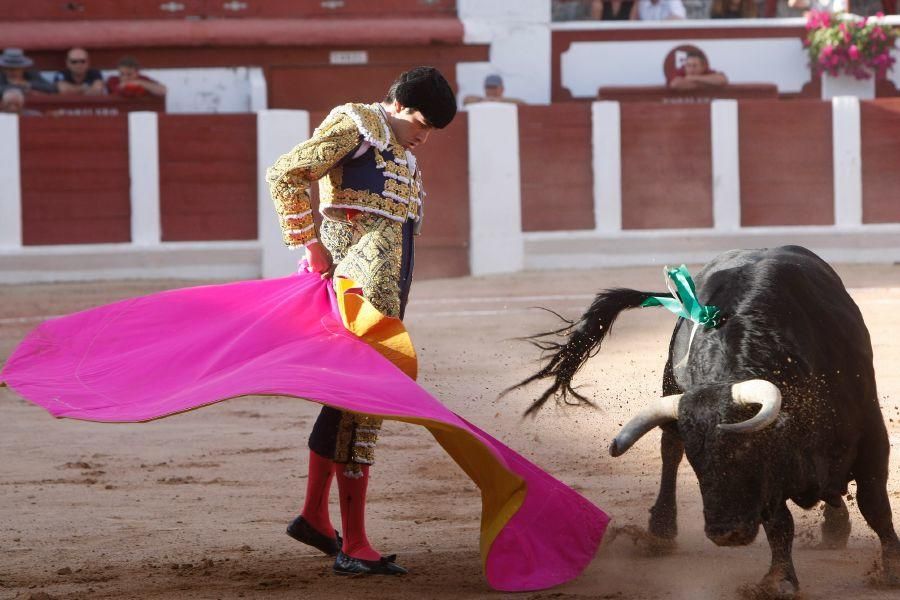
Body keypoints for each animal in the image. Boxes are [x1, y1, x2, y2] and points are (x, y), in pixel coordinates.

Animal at [512, 246, 900, 596]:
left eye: (747, 452)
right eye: (699, 465)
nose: (725, 532)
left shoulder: (871, 437)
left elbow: (875, 505)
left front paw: (891, 571)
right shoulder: (770, 481)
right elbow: (779, 522)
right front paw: (778, 580)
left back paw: (835, 526)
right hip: (670, 385)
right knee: (669, 450)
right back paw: (660, 532)